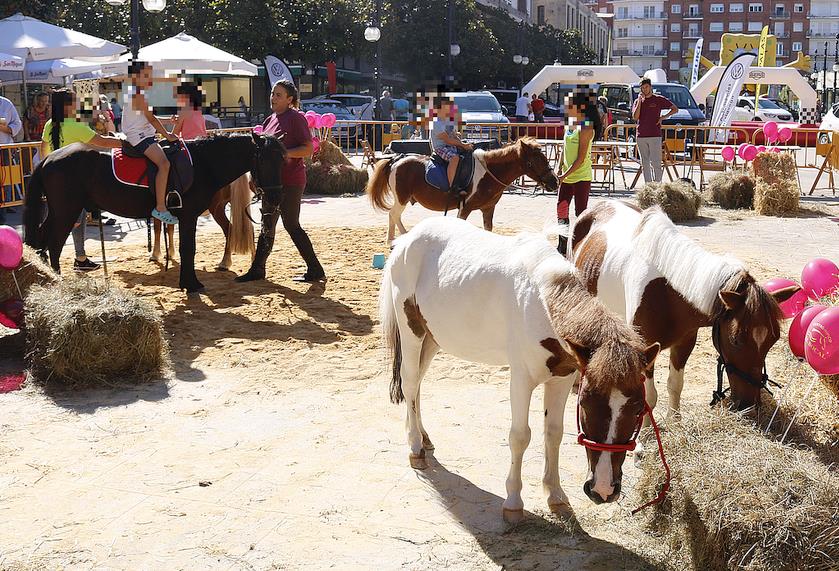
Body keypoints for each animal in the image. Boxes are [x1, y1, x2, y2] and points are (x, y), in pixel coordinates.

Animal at [23, 133, 286, 294]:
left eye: (283, 159)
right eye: (265, 160)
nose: (276, 198)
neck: (203, 162)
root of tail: (50, 157)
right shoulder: (188, 216)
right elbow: (188, 249)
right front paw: (191, 284)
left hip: (59, 212)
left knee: (43, 241)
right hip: (66, 212)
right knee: (54, 244)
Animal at [366, 140, 556, 246]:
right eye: (537, 161)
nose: (554, 181)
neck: (488, 172)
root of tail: (396, 160)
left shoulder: (488, 209)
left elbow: (488, 229)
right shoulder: (465, 208)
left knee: (395, 216)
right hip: (402, 198)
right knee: (393, 214)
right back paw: (395, 239)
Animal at [380, 219, 664, 524]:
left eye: (638, 410)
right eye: (586, 405)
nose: (603, 489)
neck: (542, 300)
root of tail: (407, 240)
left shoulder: (562, 380)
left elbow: (553, 433)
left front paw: (556, 496)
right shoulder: (521, 381)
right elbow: (520, 436)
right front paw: (514, 502)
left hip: (433, 339)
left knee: (417, 385)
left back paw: (423, 437)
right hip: (412, 333)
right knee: (410, 383)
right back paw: (415, 448)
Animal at [572, 201, 800, 416]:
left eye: (774, 339)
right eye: (735, 340)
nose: (749, 406)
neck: (667, 292)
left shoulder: (684, 343)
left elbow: (675, 386)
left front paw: (674, 421)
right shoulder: (645, 347)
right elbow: (649, 397)